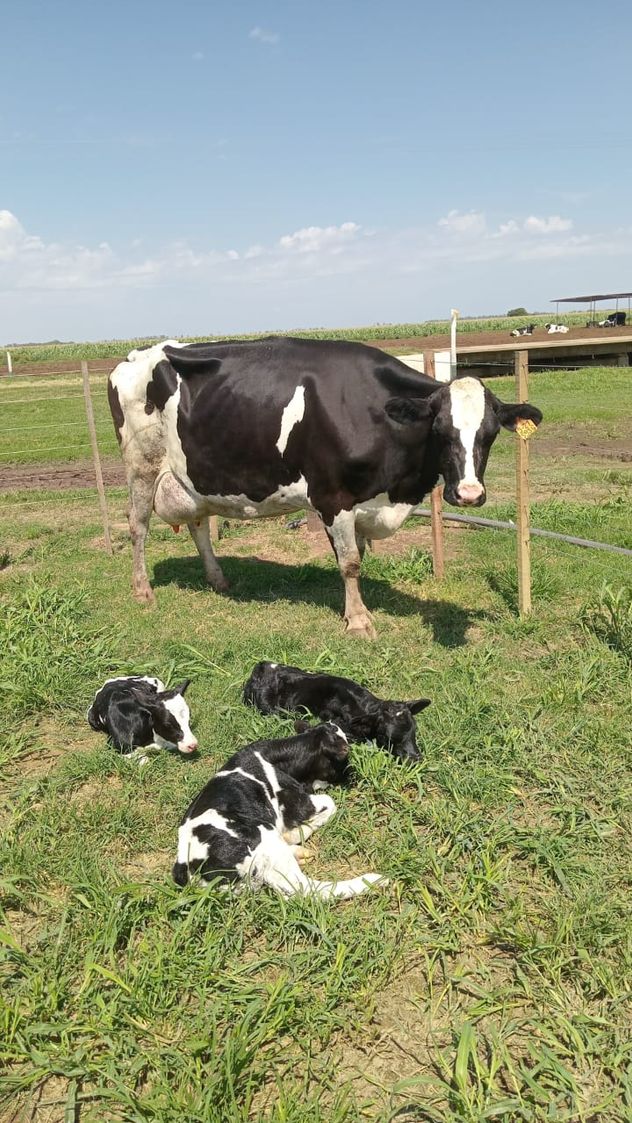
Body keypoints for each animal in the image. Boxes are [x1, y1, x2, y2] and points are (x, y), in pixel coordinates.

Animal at [108, 337, 542, 638]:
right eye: (440, 429)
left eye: (490, 433)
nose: (468, 494)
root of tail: (135, 355)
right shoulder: (332, 497)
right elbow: (349, 562)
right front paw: (359, 620)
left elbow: (358, 557)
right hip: (141, 464)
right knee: (138, 526)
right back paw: (142, 590)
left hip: (191, 476)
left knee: (198, 525)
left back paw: (218, 579)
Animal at [172, 721, 387, 899]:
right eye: (345, 753)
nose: (354, 775)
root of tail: (188, 866)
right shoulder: (299, 802)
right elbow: (330, 803)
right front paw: (293, 833)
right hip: (263, 834)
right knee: (304, 889)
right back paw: (374, 881)